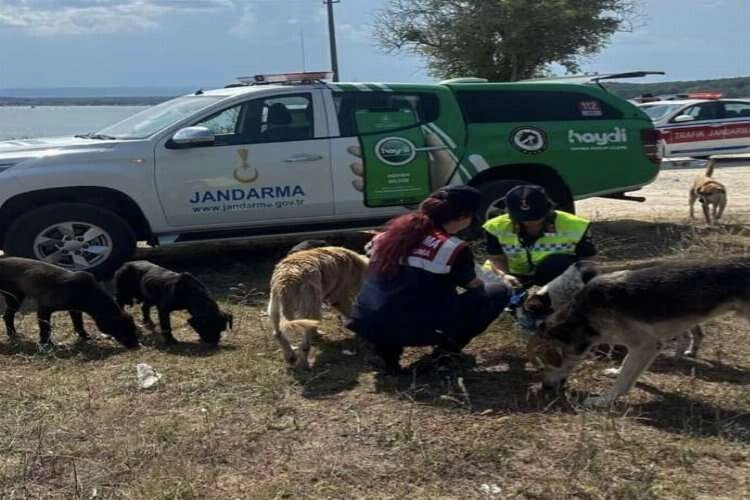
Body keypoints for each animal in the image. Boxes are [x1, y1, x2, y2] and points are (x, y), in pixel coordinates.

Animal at [0, 258, 140, 348]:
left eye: (134, 328)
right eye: (123, 329)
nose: (137, 345)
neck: (88, 293)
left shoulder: (75, 310)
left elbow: (78, 325)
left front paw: (85, 337)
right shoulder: (44, 309)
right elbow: (45, 329)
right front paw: (47, 344)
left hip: (15, 298)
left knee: (7, 316)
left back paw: (13, 335)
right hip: (14, 298)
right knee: (8, 316)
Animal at [532, 258, 748, 406]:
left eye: (543, 366)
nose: (545, 388)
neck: (583, 315)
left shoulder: (647, 345)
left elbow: (623, 381)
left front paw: (604, 401)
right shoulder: (640, 348)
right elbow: (627, 368)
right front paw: (616, 373)